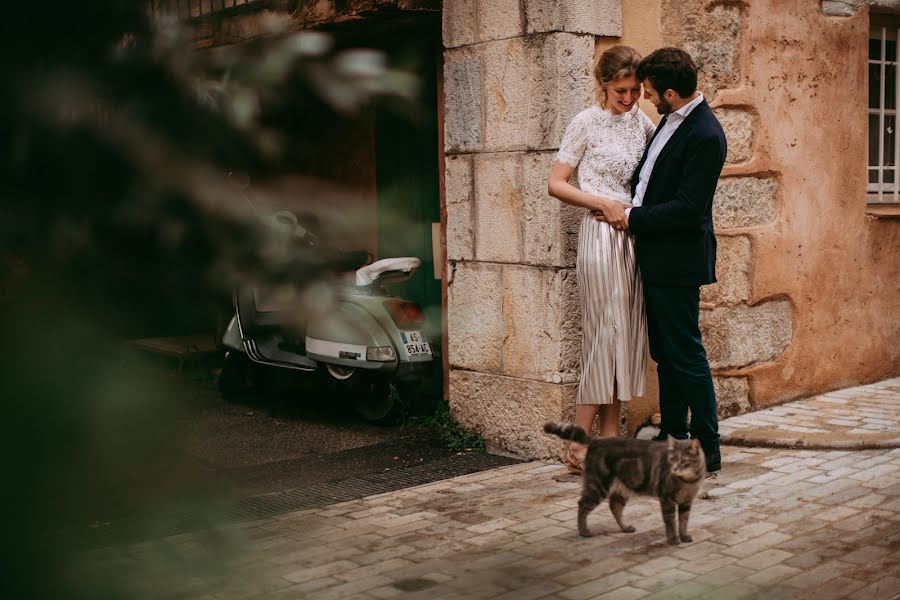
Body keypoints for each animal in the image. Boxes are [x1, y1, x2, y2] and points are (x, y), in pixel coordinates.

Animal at [544, 422, 708, 544]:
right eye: (671, 459)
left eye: (683, 461)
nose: (673, 469)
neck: (688, 481)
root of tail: (597, 439)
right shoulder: (667, 499)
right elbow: (671, 522)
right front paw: (674, 539)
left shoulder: (686, 502)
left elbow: (683, 521)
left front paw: (684, 536)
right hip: (598, 485)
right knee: (583, 505)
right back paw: (584, 531)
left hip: (622, 488)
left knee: (614, 507)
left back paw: (625, 527)